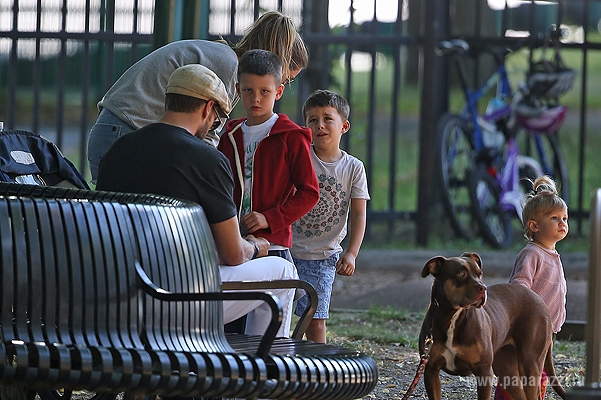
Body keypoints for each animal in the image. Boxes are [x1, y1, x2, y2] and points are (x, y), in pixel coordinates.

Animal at [420, 253, 564, 400]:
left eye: (479, 274)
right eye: (461, 273)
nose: (483, 288)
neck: (452, 317)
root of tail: (540, 300)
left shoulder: (483, 371)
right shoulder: (431, 370)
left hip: (530, 363)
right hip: (505, 367)